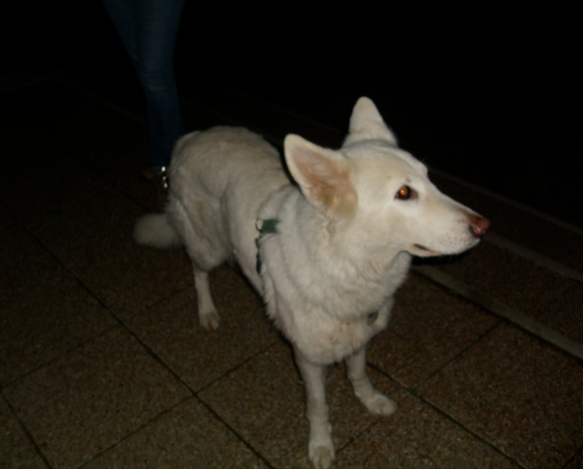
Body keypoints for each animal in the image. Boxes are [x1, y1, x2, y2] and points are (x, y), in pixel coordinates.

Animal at [134, 97, 490, 469]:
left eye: (430, 180)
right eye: (404, 193)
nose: (484, 226)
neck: (344, 262)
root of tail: (191, 138)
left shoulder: (358, 333)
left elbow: (358, 374)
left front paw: (371, 401)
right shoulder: (308, 357)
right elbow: (318, 406)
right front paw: (320, 445)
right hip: (209, 247)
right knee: (197, 270)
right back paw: (207, 312)